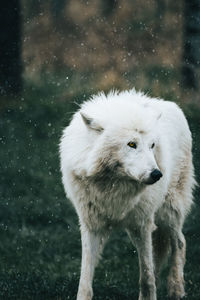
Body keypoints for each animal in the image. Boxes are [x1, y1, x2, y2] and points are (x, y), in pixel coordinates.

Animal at [59, 89, 195, 300]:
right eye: (132, 144)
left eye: (152, 145)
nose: (157, 174)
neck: (113, 186)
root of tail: (170, 103)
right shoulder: (91, 225)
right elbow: (85, 278)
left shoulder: (142, 223)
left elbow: (146, 276)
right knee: (158, 256)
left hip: (168, 212)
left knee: (179, 242)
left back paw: (176, 288)